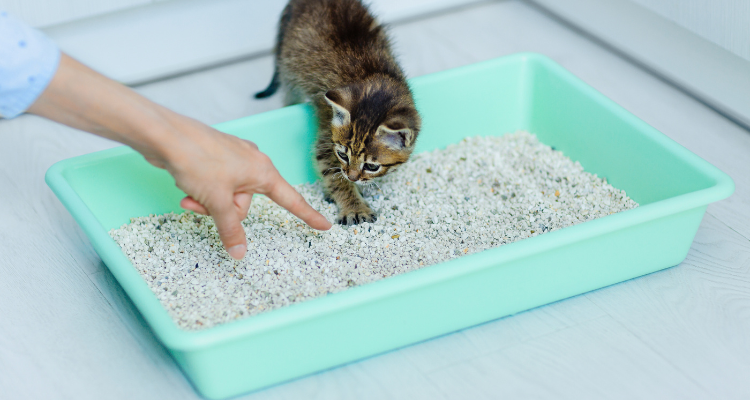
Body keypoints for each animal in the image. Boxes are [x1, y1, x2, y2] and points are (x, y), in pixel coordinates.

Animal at [258, 0, 424, 223]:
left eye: (372, 166)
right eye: (342, 155)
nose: (351, 176)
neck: (373, 77)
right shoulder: (326, 141)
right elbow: (333, 175)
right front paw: (354, 206)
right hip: (288, 71)